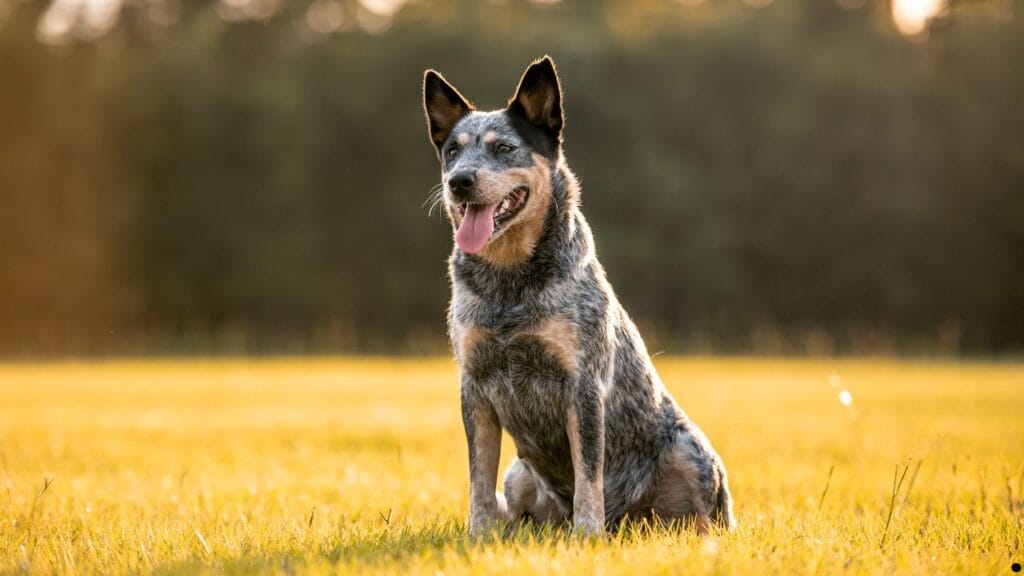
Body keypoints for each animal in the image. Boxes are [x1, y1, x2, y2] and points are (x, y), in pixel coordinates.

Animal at [423, 54, 737, 532]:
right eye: (452, 150)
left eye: (503, 148)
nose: (459, 181)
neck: (509, 286)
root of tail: (628, 521)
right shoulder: (474, 386)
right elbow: (479, 477)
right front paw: (479, 534)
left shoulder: (583, 384)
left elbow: (588, 472)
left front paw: (587, 534)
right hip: (520, 473)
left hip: (691, 452)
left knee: (701, 516)